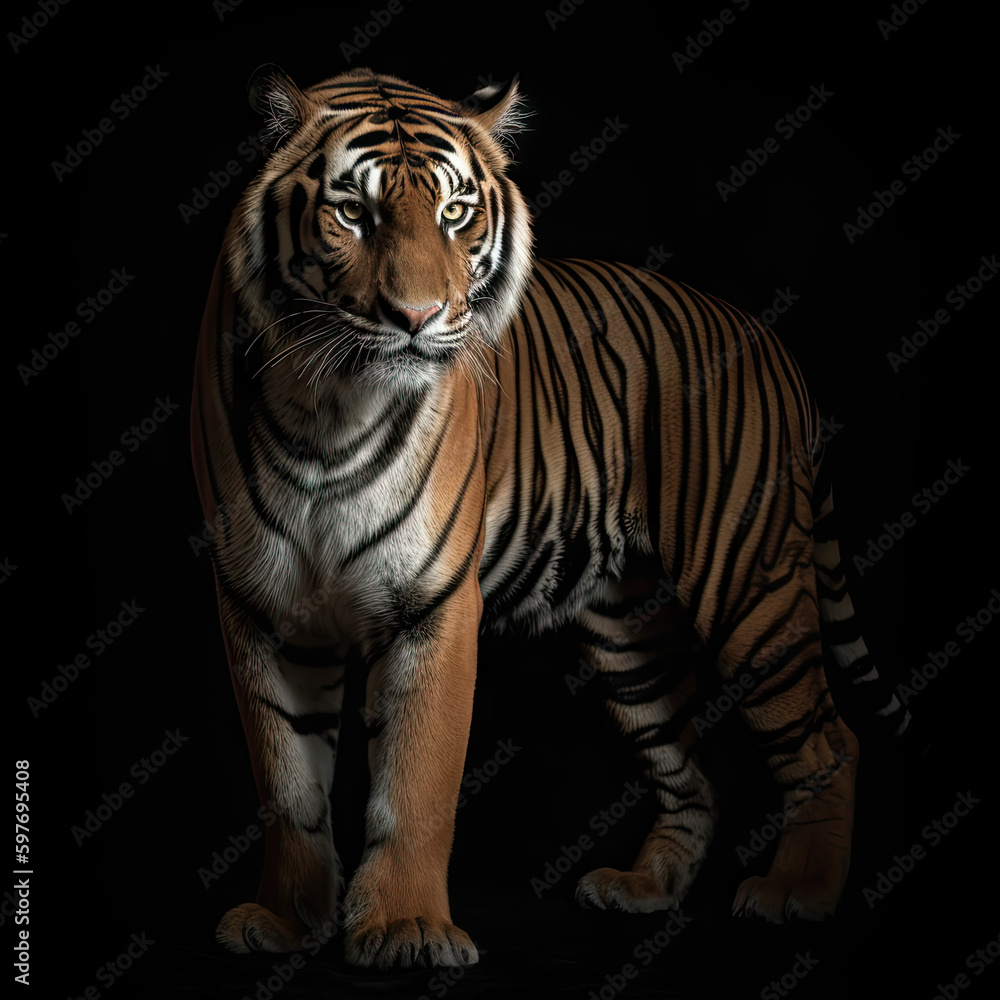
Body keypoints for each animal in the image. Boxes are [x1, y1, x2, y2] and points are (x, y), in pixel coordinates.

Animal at [190, 64, 909, 970]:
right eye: (353, 212)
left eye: (455, 212)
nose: (418, 318)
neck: (327, 405)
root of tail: (769, 339)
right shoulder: (262, 606)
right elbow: (288, 784)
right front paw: (287, 922)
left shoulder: (432, 605)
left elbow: (416, 782)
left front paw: (405, 929)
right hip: (628, 635)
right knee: (691, 771)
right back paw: (644, 888)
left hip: (749, 587)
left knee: (828, 742)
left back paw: (798, 894)